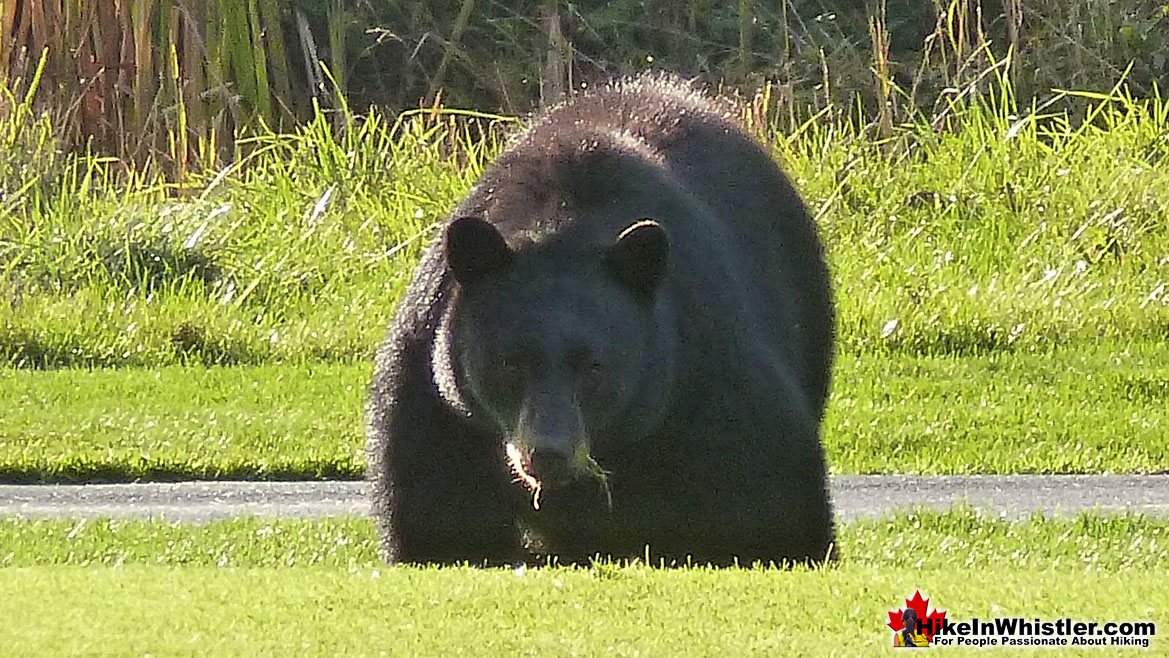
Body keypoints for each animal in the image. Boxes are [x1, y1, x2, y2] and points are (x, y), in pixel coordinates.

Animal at [364, 73, 832, 565]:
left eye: (592, 366)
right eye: (510, 362)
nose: (548, 452)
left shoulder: (706, 371)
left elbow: (768, 493)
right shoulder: (434, 404)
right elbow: (436, 519)